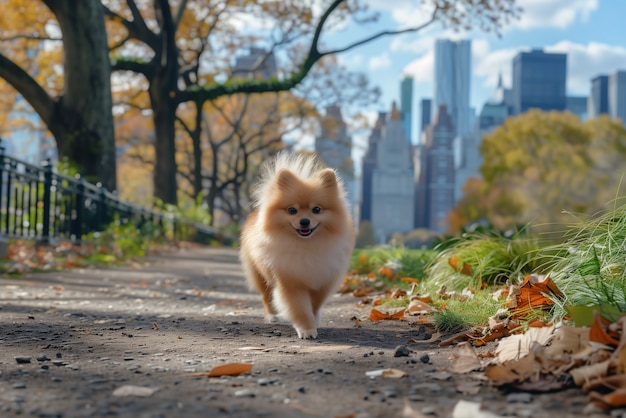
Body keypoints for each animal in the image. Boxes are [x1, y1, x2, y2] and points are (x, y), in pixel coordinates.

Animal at [239, 152, 354, 338]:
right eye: (292, 210)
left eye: (316, 209)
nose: (304, 221)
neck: (306, 247)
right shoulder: (290, 281)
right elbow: (300, 308)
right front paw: (307, 329)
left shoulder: (324, 279)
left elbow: (315, 304)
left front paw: (314, 320)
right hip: (260, 274)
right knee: (266, 296)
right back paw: (272, 316)